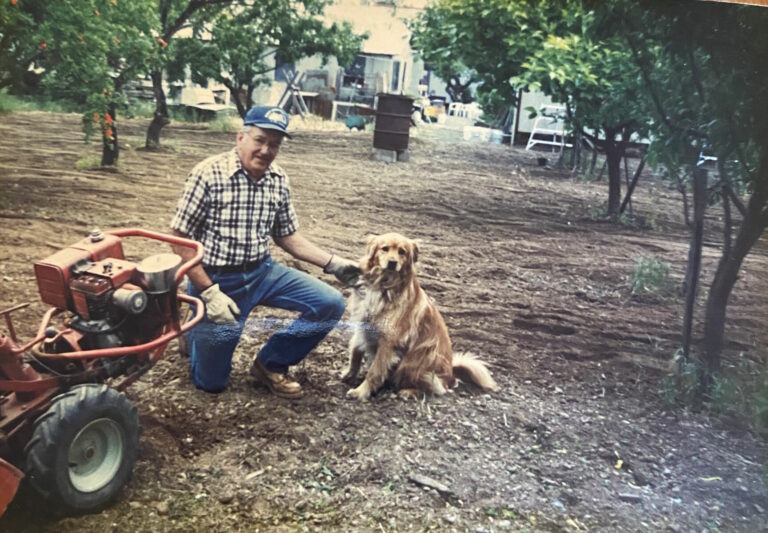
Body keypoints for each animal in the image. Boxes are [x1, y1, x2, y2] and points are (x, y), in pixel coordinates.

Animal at [342, 233, 498, 400]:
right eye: (384, 248)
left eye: (402, 252)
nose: (392, 263)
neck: (384, 284)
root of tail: (451, 374)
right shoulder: (362, 325)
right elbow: (355, 353)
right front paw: (349, 375)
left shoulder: (389, 341)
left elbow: (374, 371)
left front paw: (361, 391)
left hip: (416, 358)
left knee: (435, 388)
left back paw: (408, 391)